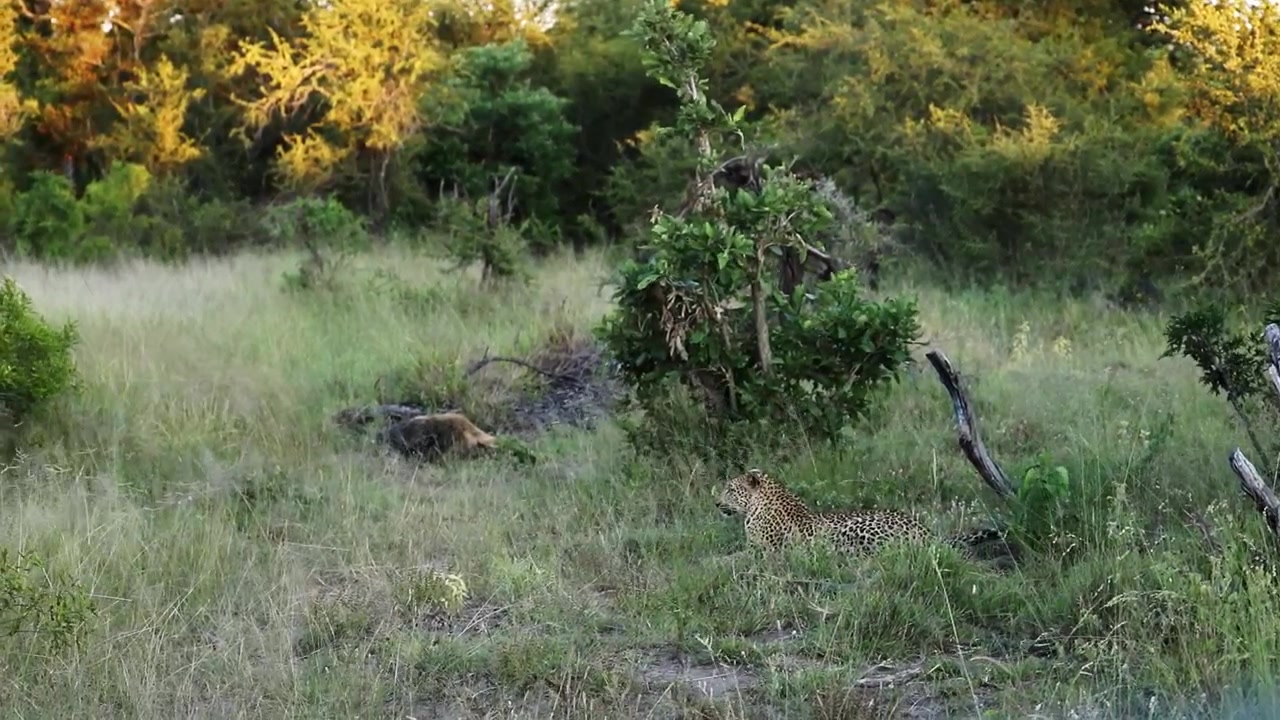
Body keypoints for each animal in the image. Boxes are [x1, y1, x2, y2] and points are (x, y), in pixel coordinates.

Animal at [714, 468, 1006, 556]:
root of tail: (926, 532)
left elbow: (733, 556)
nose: (716, 504)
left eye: (730, 490)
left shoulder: (762, 549)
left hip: (855, 528)